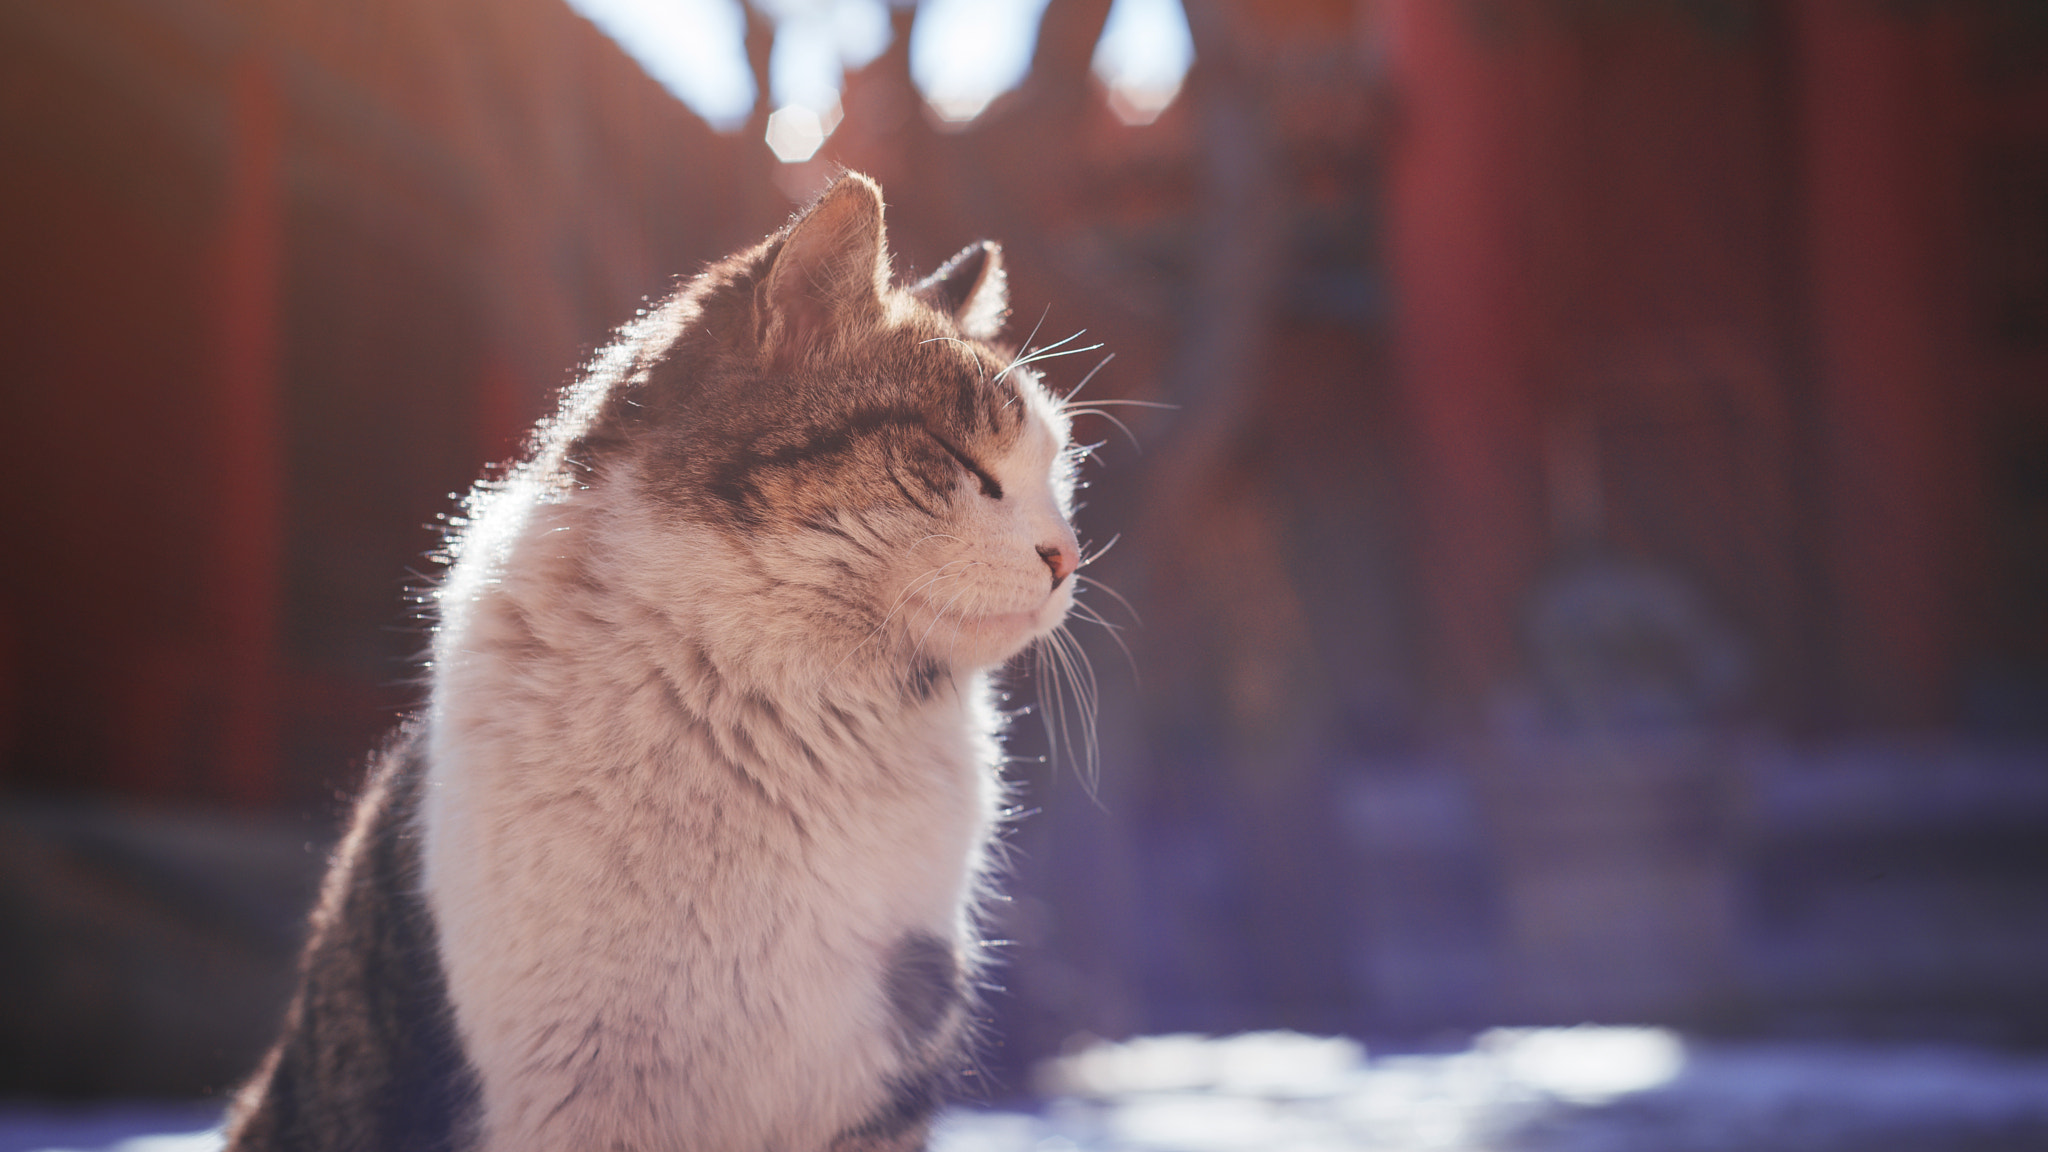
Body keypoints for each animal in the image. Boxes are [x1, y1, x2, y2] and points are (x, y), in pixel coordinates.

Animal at [220, 172, 1089, 1147]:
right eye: (959, 461)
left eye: (1060, 475)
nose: (1070, 556)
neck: (777, 717)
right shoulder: (576, 1084)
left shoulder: (873, 1071)